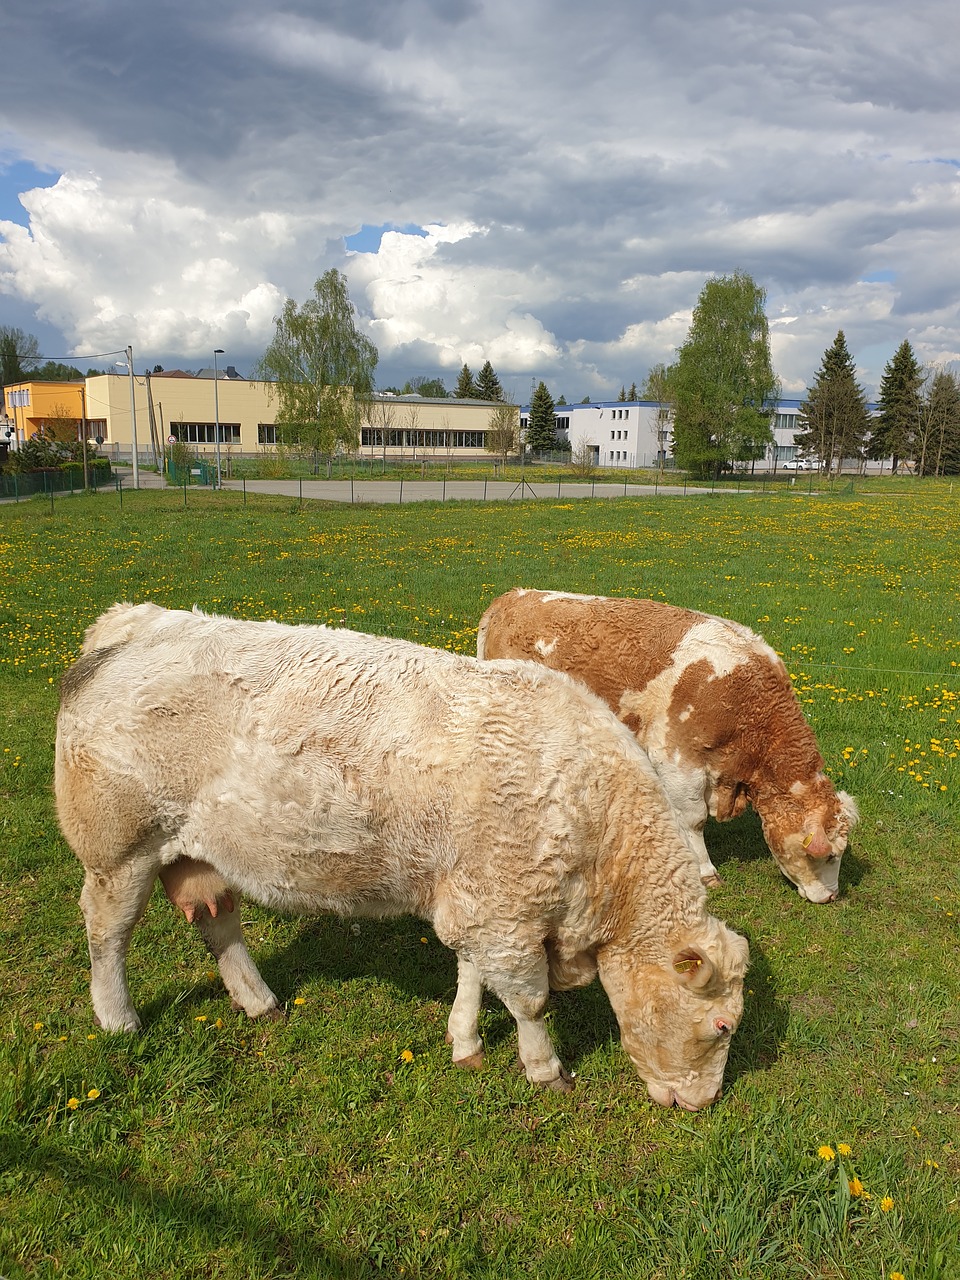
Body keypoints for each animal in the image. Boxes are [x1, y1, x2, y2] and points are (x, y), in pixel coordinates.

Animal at [54, 601, 752, 1111]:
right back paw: (118, 1017)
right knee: (107, 931)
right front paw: (544, 1067)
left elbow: (472, 976)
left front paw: (464, 1041)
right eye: (721, 1026)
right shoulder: (507, 917)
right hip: (117, 848)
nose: (704, 1105)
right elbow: (528, 1000)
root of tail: (129, 625)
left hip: (196, 850)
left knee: (218, 922)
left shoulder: (478, 904)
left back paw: (258, 999)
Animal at [478, 588, 860, 901]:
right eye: (828, 855)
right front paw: (705, 872)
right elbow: (693, 820)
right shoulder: (678, 759)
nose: (831, 897)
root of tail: (511, 597)